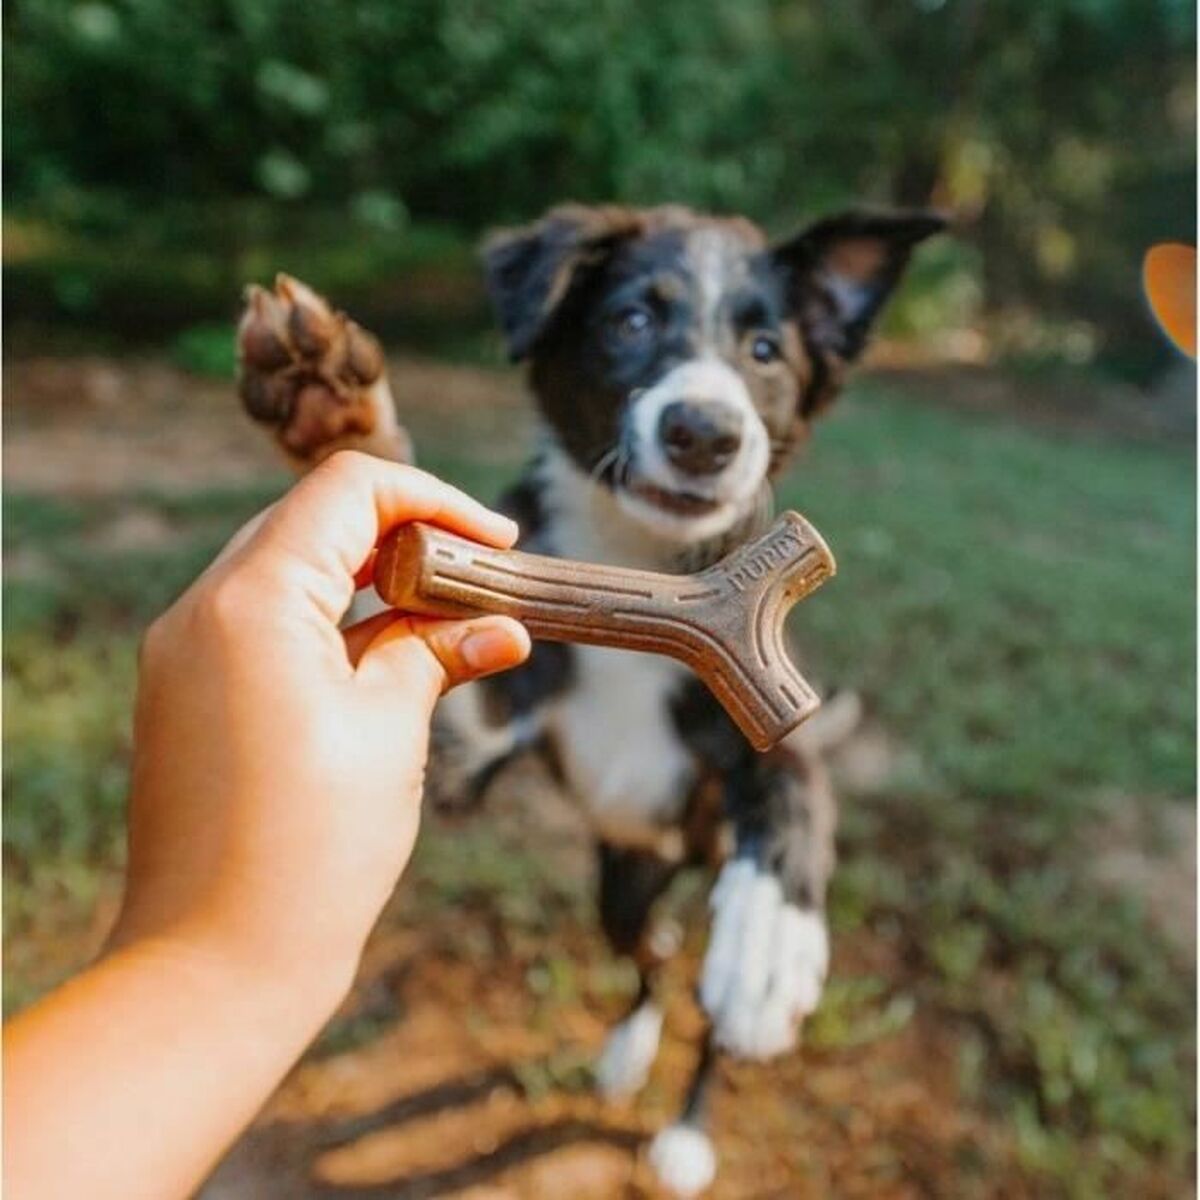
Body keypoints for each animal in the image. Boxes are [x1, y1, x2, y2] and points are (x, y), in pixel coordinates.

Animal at [234, 201, 945, 1195]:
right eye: (630, 320)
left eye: (766, 348)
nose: (704, 433)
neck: (639, 558)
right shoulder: (477, 738)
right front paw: (336, 416)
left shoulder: (758, 724)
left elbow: (795, 782)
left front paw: (772, 938)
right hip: (622, 881)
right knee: (653, 954)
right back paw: (627, 1051)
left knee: (703, 1000)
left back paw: (689, 1125)